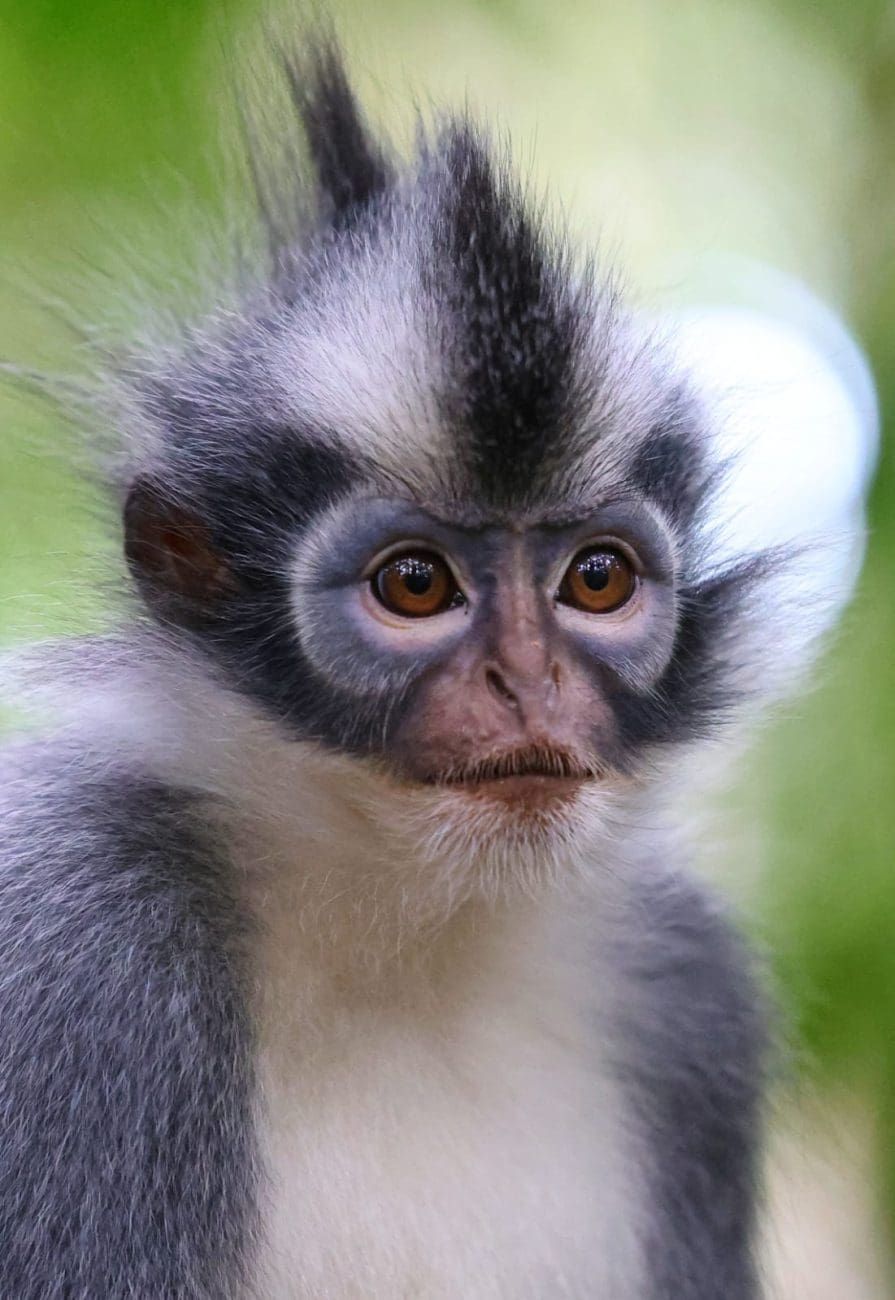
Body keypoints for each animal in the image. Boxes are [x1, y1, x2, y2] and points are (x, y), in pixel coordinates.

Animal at [0, 36, 836, 1300]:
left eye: (596, 578)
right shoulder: (78, 939)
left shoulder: (693, 997)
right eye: (413, 584)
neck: (413, 936)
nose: (526, 689)